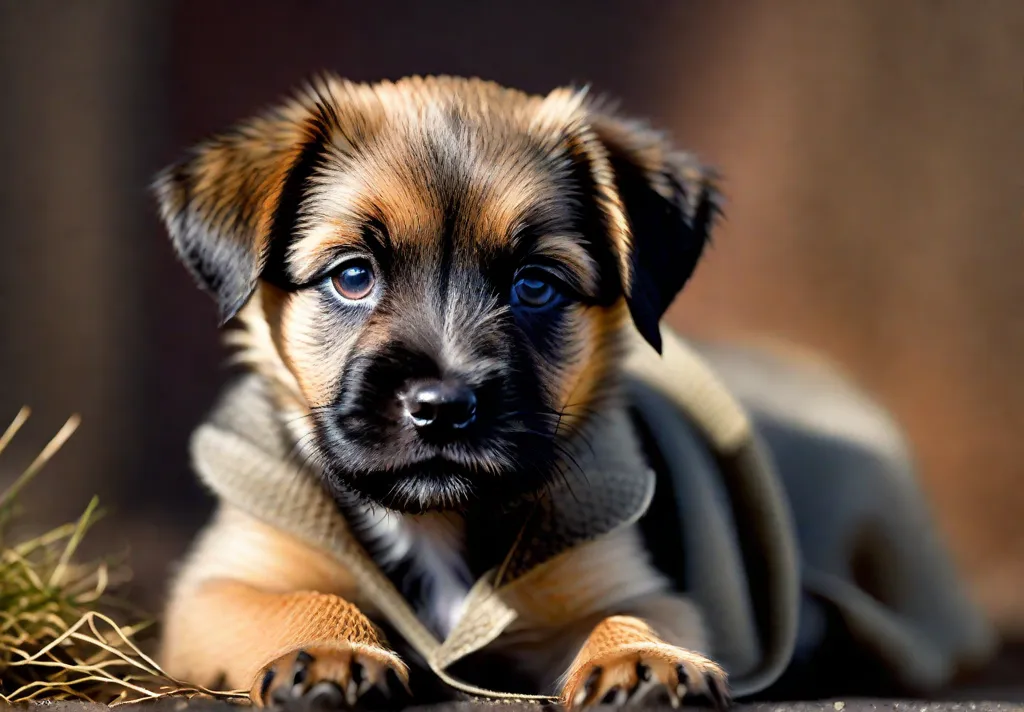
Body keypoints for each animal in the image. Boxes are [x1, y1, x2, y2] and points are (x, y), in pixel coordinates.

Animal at [153, 75, 729, 708]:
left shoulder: (616, 582)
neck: (434, 522)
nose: (443, 409)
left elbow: (624, 614)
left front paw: (642, 657)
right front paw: (332, 649)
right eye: (352, 276)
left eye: (535, 285)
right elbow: (307, 599)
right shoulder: (220, 587)